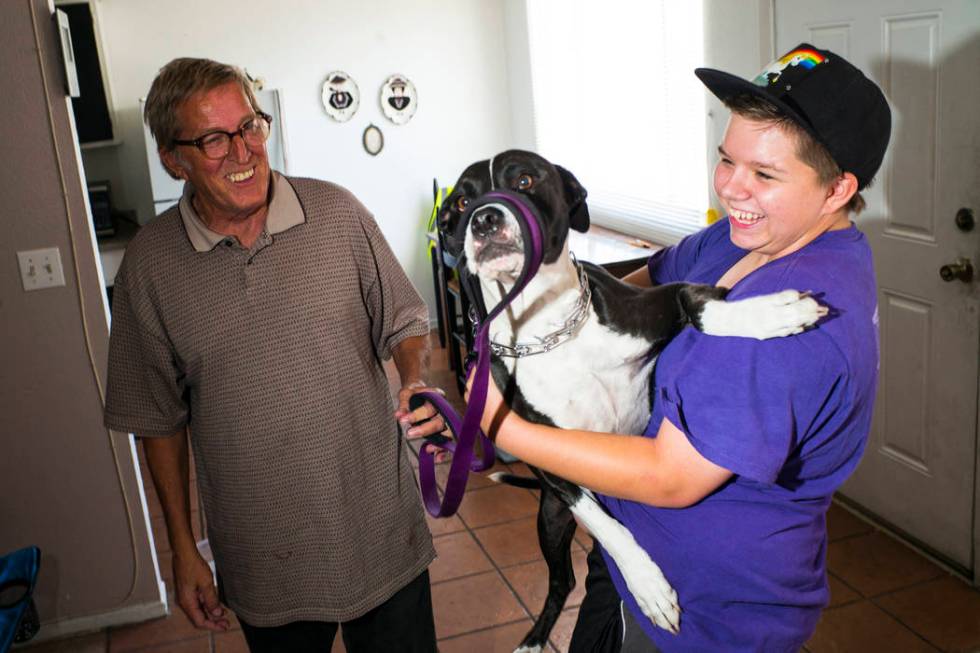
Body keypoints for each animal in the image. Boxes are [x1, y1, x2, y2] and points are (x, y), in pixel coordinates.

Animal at [440, 149, 824, 652]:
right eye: (462, 201)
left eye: (524, 179)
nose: (484, 219)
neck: (548, 329)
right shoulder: (550, 460)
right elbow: (606, 526)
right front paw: (646, 585)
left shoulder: (658, 301)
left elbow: (699, 303)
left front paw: (763, 314)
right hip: (550, 518)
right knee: (562, 580)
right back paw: (537, 636)